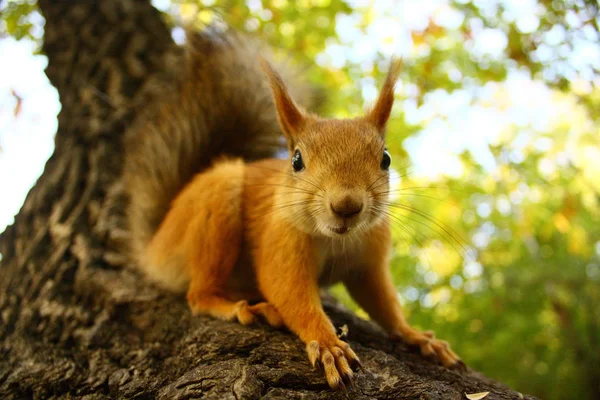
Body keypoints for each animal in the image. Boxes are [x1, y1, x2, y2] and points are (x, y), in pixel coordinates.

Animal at [123, 27, 464, 388]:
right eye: (296, 160)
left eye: (385, 159)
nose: (346, 205)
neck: (336, 240)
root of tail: (155, 246)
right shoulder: (280, 243)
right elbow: (290, 292)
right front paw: (328, 344)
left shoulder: (369, 260)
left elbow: (382, 302)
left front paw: (417, 336)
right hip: (215, 207)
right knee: (199, 295)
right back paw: (245, 308)